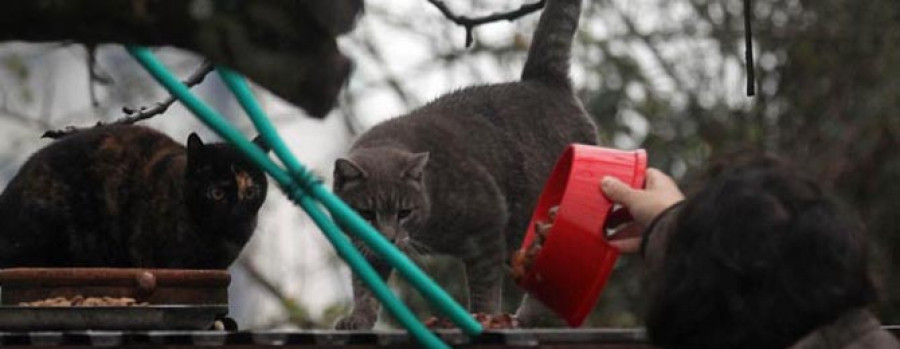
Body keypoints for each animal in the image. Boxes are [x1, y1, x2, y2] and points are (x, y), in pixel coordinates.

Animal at [334, 0, 596, 328]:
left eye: (405, 212)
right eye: (366, 213)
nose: (389, 238)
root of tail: (543, 79)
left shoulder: (487, 227)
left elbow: (484, 286)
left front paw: (482, 317)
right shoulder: (366, 248)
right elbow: (365, 285)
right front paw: (359, 318)